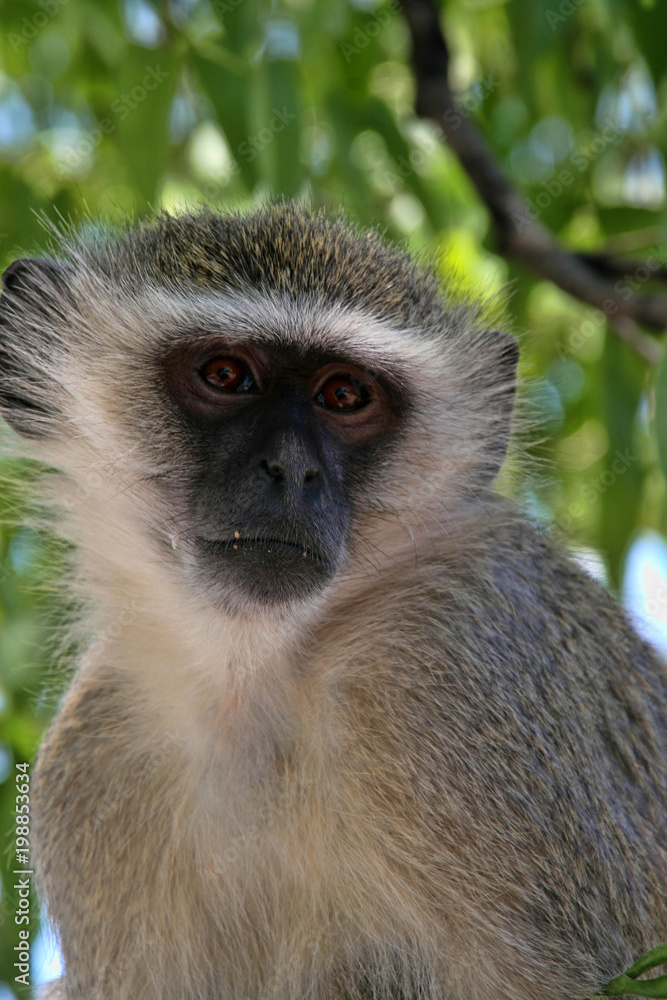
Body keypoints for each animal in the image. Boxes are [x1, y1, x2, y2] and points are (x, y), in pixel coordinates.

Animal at [0, 204, 666, 1000]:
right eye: (226, 374)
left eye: (344, 395)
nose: (291, 469)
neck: (255, 680)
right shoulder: (94, 753)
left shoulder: (461, 669)